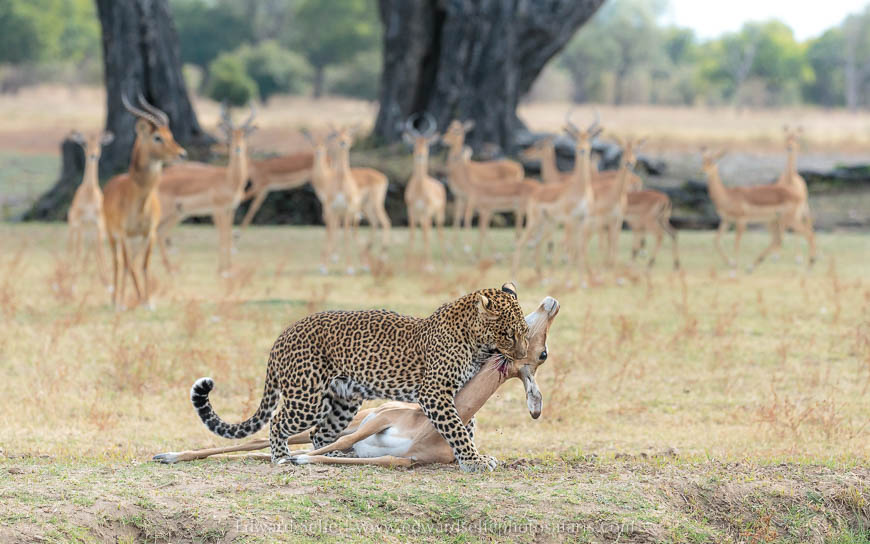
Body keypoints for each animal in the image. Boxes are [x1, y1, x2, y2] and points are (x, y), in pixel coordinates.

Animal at [67, 129, 114, 287]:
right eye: (84, 143)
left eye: (100, 143)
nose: (93, 155)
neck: (89, 193)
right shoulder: (81, 223)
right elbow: (79, 250)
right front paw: (74, 280)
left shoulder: (98, 224)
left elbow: (100, 251)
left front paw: (108, 281)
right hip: (74, 228)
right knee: (73, 249)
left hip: (93, 233)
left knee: (93, 250)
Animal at [102, 94, 186, 309]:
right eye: (157, 137)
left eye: (170, 134)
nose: (182, 153)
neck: (138, 198)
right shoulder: (123, 234)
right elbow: (127, 265)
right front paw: (128, 301)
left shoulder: (150, 233)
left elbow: (144, 265)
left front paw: (147, 301)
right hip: (112, 235)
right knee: (118, 262)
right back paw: (116, 299)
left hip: (136, 241)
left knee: (130, 262)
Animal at [153, 296, 559, 467]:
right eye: (509, 333)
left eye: (526, 335)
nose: (520, 353)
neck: (473, 338)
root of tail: (281, 336)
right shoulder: (434, 393)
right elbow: (457, 427)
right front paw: (473, 460)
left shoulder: (455, 391)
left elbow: (463, 423)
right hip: (307, 397)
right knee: (278, 423)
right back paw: (283, 458)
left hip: (344, 400)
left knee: (322, 434)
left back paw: (333, 455)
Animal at [157, 104, 256, 275]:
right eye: (230, 136)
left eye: (243, 135)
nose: (237, 149)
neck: (228, 180)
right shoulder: (217, 209)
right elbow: (222, 236)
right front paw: (222, 270)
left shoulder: (230, 209)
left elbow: (228, 235)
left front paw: (229, 268)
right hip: (165, 212)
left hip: (177, 214)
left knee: (160, 233)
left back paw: (169, 269)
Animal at [402, 113, 446, 268]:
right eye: (415, 144)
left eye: (426, 144)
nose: (420, 155)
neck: (420, 189)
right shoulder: (411, 211)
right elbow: (412, 234)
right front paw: (408, 264)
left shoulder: (427, 211)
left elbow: (427, 235)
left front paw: (428, 264)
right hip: (422, 216)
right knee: (425, 231)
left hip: (438, 215)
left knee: (438, 233)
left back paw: (442, 260)